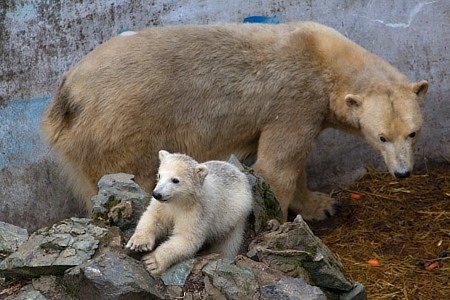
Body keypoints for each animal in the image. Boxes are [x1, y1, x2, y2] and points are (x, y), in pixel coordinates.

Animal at [42, 21, 428, 221]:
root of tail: (67, 96)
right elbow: (279, 166)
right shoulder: (295, 100)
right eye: (381, 137)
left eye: (412, 133)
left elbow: (296, 165)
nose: (403, 172)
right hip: (121, 131)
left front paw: (323, 204)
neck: (324, 60)